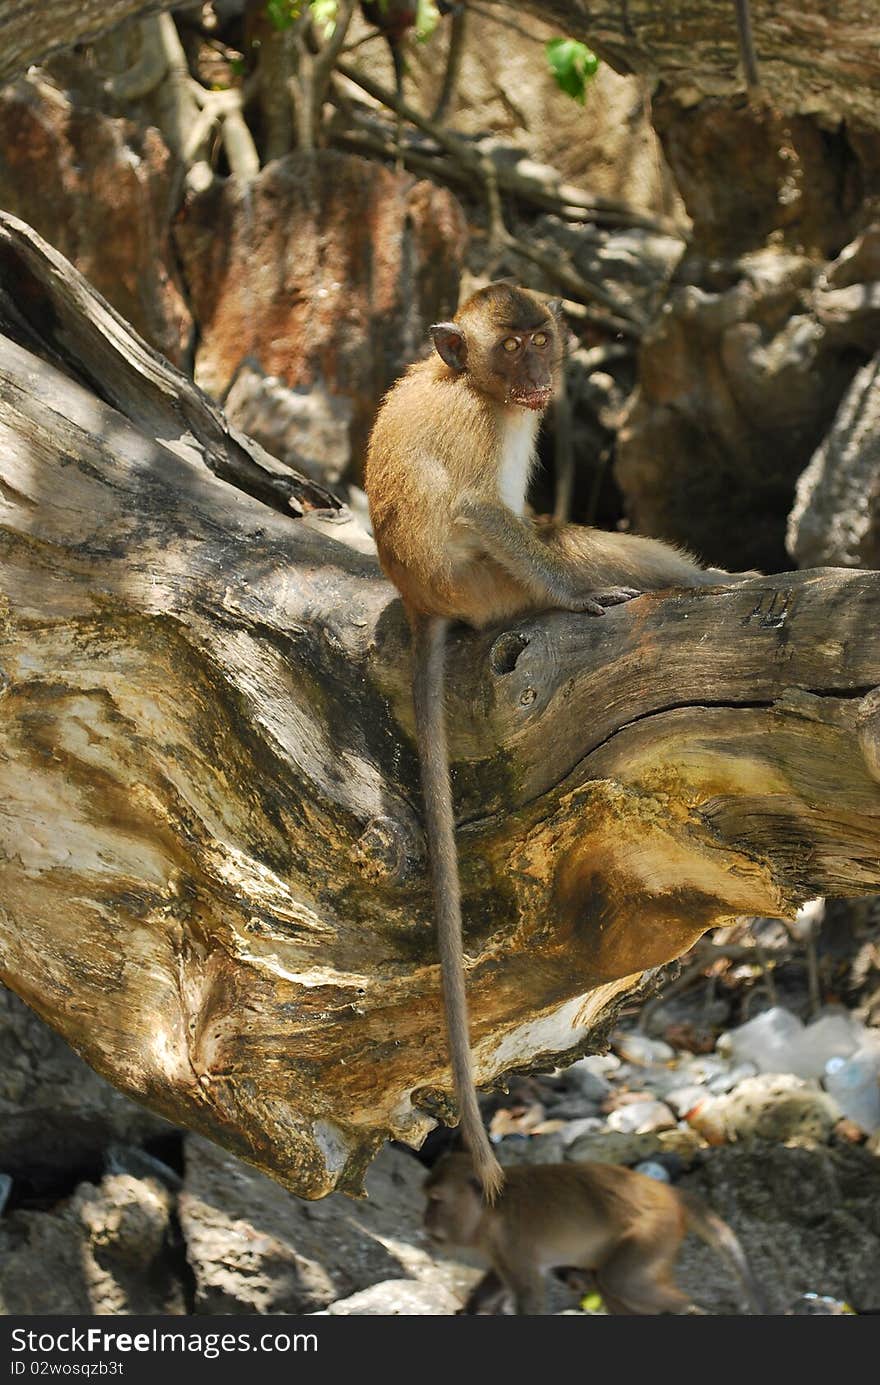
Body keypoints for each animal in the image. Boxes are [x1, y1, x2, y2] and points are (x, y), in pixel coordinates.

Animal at [360, 283, 748, 1202]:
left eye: (542, 338)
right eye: (514, 347)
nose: (539, 375)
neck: (476, 386)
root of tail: (425, 603)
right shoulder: (485, 434)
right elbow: (480, 509)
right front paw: (580, 599)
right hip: (492, 588)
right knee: (554, 539)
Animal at [424, 1152, 770, 1312]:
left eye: (436, 1200)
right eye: (427, 1197)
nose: (425, 1222)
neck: (493, 1209)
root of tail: (669, 1193)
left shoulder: (510, 1240)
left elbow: (529, 1295)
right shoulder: (501, 1247)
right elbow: (497, 1282)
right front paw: (473, 1308)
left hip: (654, 1231)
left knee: (619, 1281)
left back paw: (684, 1308)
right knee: (609, 1284)